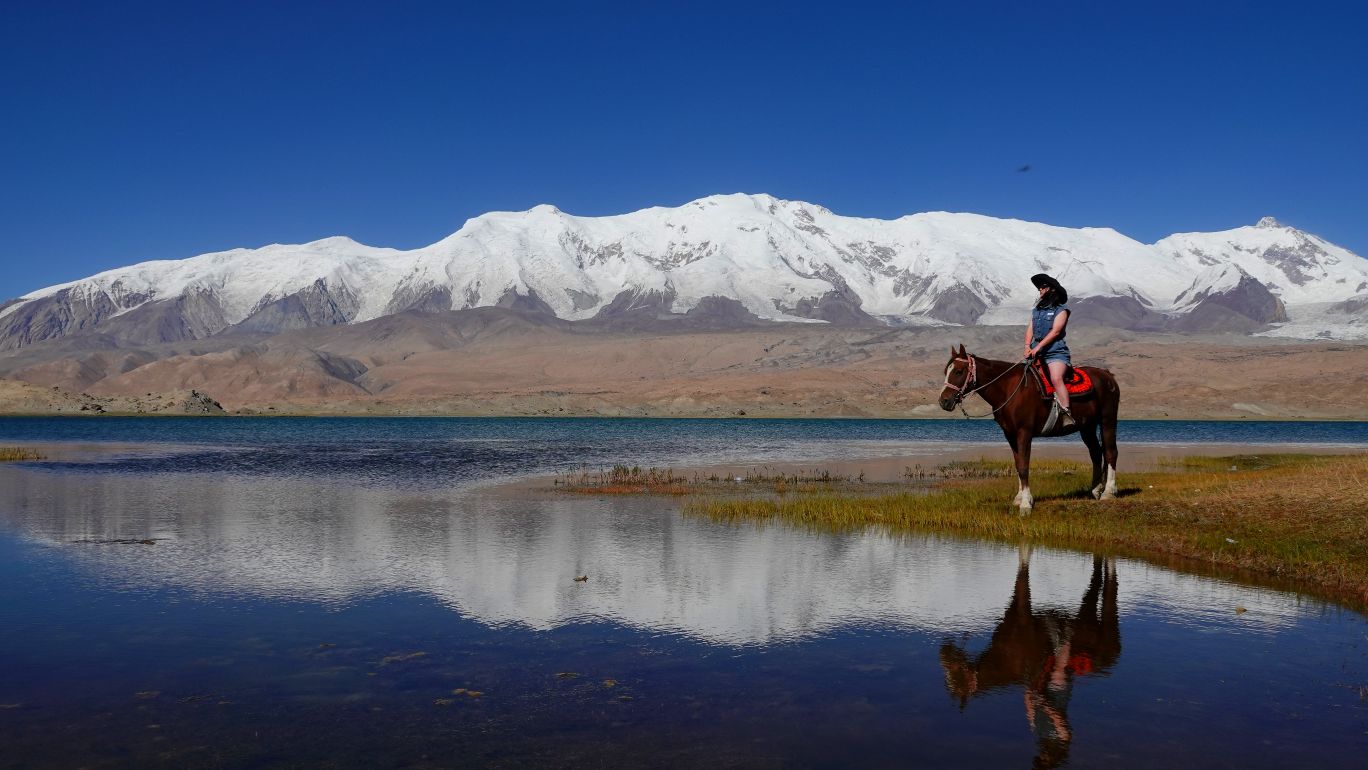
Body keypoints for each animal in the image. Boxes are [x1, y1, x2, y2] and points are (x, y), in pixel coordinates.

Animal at [941, 346, 1121, 514]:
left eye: (958, 371)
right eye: (946, 371)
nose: (944, 401)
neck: (1008, 389)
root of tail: (1108, 376)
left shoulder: (1024, 433)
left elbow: (1023, 466)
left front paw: (1026, 504)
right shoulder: (1010, 435)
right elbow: (1017, 464)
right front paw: (1019, 498)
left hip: (1107, 420)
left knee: (1110, 452)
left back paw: (1108, 492)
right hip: (1087, 427)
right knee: (1096, 453)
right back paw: (1095, 490)